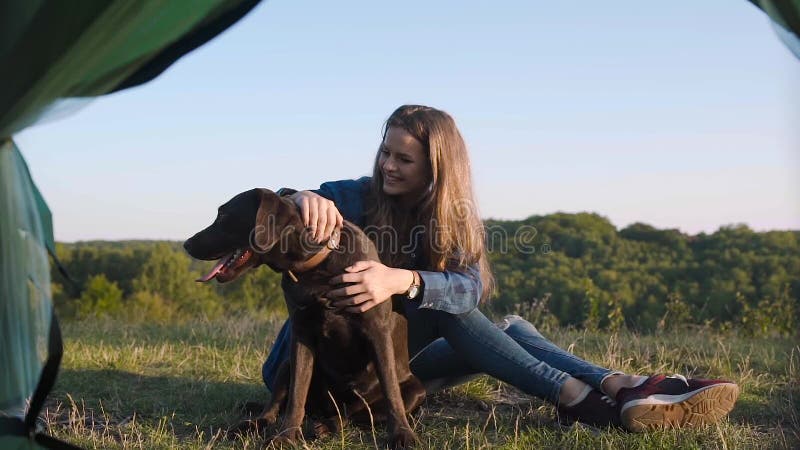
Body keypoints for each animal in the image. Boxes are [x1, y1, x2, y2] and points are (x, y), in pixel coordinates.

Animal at [185, 189, 428, 446]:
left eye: (223, 216)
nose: (187, 244)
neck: (316, 268)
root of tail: (323, 410)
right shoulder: (301, 334)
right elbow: (296, 395)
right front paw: (285, 437)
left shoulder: (377, 331)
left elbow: (391, 391)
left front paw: (402, 434)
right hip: (286, 364)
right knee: (276, 407)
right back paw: (253, 424)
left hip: (416, 389)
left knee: (353, 413)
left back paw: (327, 426)